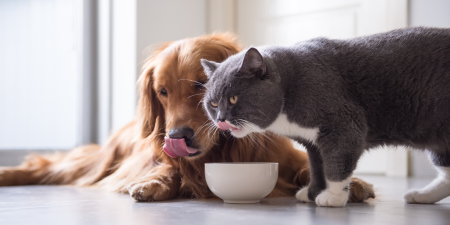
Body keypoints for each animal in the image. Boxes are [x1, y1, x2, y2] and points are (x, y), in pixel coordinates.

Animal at [200, 27, 450, 207]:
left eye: (233, 99)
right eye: (213, 104)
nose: (221, 119)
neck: (290, 88)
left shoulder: (343, 125)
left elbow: (335, 164)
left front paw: (335, 196)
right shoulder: (312, 141)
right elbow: (317, 167)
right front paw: (312, 193)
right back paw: (421, 196)